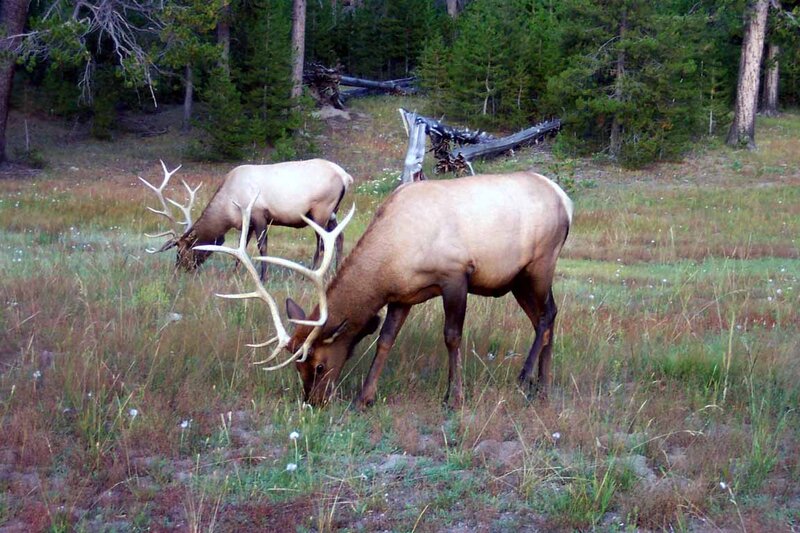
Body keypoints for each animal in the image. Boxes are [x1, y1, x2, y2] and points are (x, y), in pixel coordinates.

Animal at [139, 159, 354, 280]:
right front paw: (234, 274)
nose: (178, 271)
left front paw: (263, 277)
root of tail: (346, 176)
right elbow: (240, 248)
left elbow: (262, 247)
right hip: (332, 211)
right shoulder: (247, 222)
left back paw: (311, 273)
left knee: (322, 242)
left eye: (182, 251)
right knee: (339, 236)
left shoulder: (259, 214)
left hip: (320, 210)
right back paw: (336, 271)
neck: (228, 208)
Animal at [197, 170, 573, 408]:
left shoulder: (455, 275)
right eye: (296, 367)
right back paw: (544, 386)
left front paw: (454, 397)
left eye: (318, 365)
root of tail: (566, 200)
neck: (391, 259)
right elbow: (385, 340)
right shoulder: (402, 295)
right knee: (548, 317)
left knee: (547, 315)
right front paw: (365, 397)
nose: (313, 402)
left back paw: (526, 376)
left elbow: (452, 336)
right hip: (518, 280)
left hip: (540, 264)